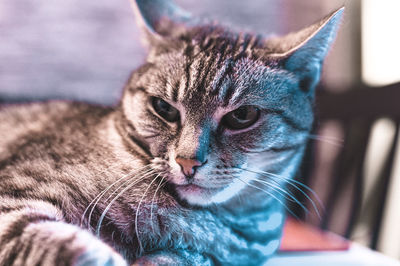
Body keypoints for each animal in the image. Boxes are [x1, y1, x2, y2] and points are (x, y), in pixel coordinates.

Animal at [0, 0, 344, 264]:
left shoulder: (204, 256)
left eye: (242, 116)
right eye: (163, 108)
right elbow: (59, 242)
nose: (188, 161)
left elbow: (179, 257)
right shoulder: (14, 196)